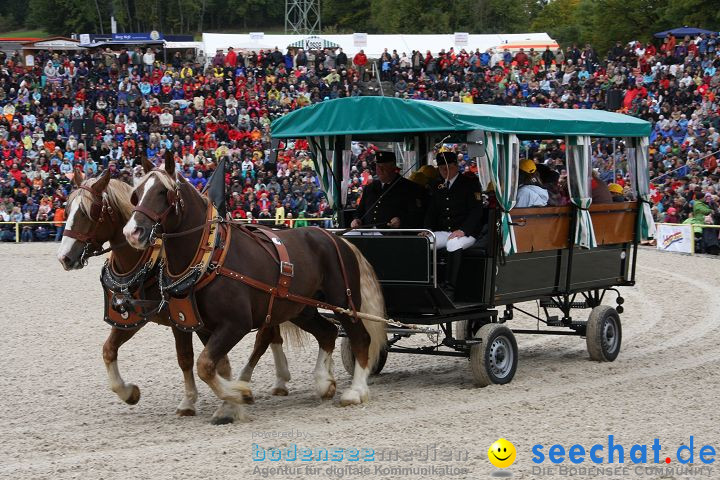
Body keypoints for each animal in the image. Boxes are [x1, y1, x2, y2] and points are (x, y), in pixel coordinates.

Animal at [125, 159, 388, 422]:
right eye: (136, 195)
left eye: (163, 192)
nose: (132, 232)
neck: (211, 258)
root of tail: (338, 239)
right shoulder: (202, 326)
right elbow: (214, 365)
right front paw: (230, 403)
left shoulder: (236, 324)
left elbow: (205, 365)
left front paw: (239, 394)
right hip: (301, 308)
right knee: (328, 333)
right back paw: (325, 382)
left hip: (343, 302)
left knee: (360, 337)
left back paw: (356, 391)